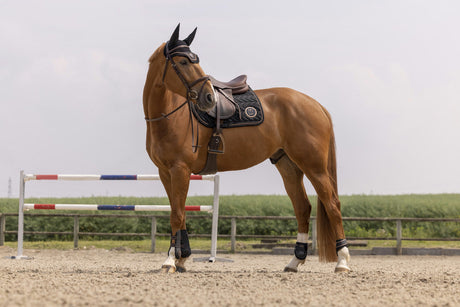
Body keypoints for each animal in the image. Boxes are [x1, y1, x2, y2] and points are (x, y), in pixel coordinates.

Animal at [142, 24, 350, 274]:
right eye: (183, 62)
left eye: (195, 60)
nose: (209, 98)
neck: (171, 116)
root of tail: (315, 104)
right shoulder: (166, 172)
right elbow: (178, 212)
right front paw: (182, 259)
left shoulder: (180, 170)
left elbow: (177, 214)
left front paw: (171, 260)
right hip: (288, 165)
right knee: (302, 207)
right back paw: (294, 261)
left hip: (314, 167)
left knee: (332, 205)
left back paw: (342, 261)